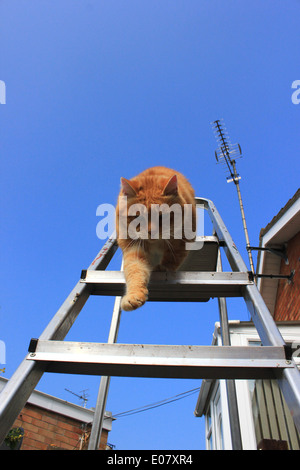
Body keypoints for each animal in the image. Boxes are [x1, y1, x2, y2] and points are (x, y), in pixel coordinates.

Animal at [116, 167, 196, 310]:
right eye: (138, 217)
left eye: (161, 216)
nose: (150, 231)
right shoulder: (134, 249)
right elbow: (135, 271)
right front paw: (134, 296)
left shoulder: (182, 241)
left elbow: (173, 257)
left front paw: (162, 268)